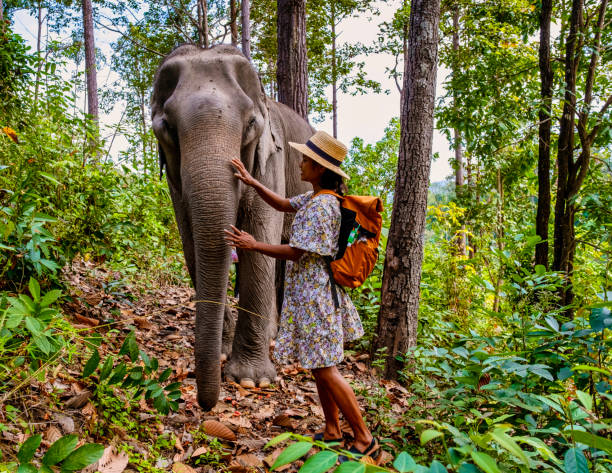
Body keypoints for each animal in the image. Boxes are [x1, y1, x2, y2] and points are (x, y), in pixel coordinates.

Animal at [152, 43, 314, 410]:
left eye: (251, 124)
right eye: (167, 127)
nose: (206, 404)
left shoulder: (270, 160)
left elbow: (260, 238)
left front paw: (252, 380)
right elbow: (191, 243)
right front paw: (224, 355)